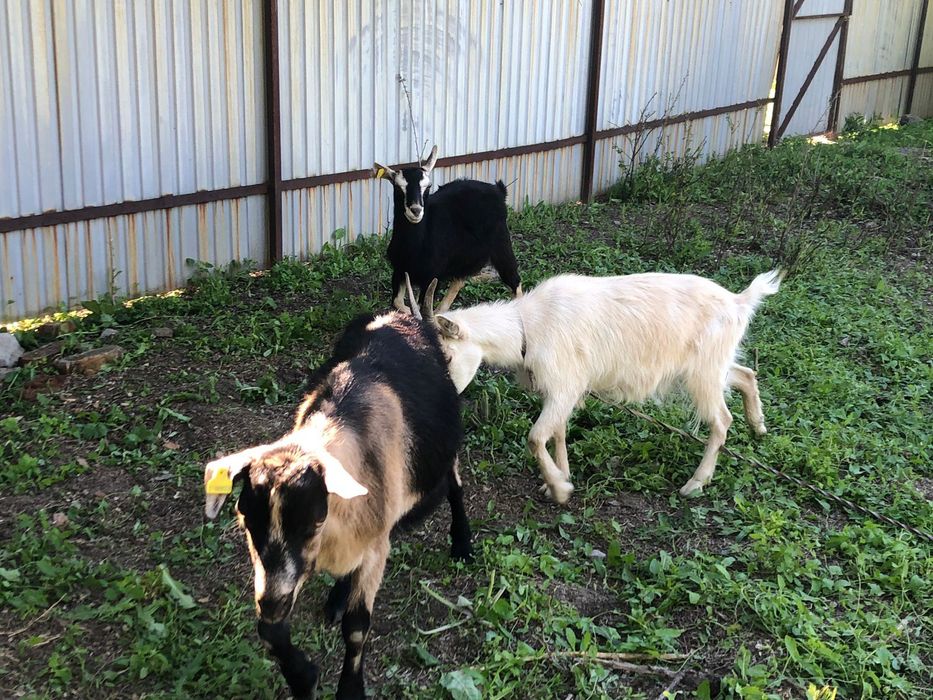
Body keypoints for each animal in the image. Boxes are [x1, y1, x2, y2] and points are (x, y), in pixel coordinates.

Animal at [202, 277, 471, 700]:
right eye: (246, 522)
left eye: (310, 521)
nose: (273, 603)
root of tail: (404, 317)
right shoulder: (286, 570)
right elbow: (270, 631)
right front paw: (303, 676)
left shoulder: (375, 547)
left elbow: (357, 627)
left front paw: (349, 689)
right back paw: (336, 598)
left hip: (449, 445)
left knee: (454, 486)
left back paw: (462, 545)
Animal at [373, 145, 522, 314]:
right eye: (398, 187)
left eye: (428, 187)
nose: (416, 211)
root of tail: (498, 190)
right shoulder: (399, 270)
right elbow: (398, 302)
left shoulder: (431, 277)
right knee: (459, 280)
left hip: (501, 243)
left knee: (513, 279)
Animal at [422, 270, 783, 502]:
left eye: (448, 356)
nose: (442, 400)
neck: (527, 326)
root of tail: (740, 302)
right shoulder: (561, 391)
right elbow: (558, 433)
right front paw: (560, 478)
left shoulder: (564, 384)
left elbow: (536, 437)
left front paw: (560, 490)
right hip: (709, 367)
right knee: (746, 374)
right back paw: (759, 427)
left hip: (704, 373)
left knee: (722, 419)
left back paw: (695, 483)